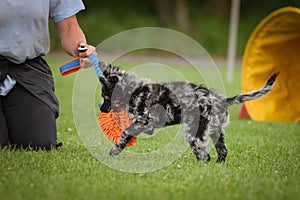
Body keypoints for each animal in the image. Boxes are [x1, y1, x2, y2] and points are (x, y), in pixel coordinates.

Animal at [98, 62, 278, 162]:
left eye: (104, 96)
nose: (101, 109)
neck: (133, 90)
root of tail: (220, 100)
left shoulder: (142, 122)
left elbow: (124, 135)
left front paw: (113, 152)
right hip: (216, 132)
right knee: (222, 152)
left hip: (194, 133)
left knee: (205, 156)